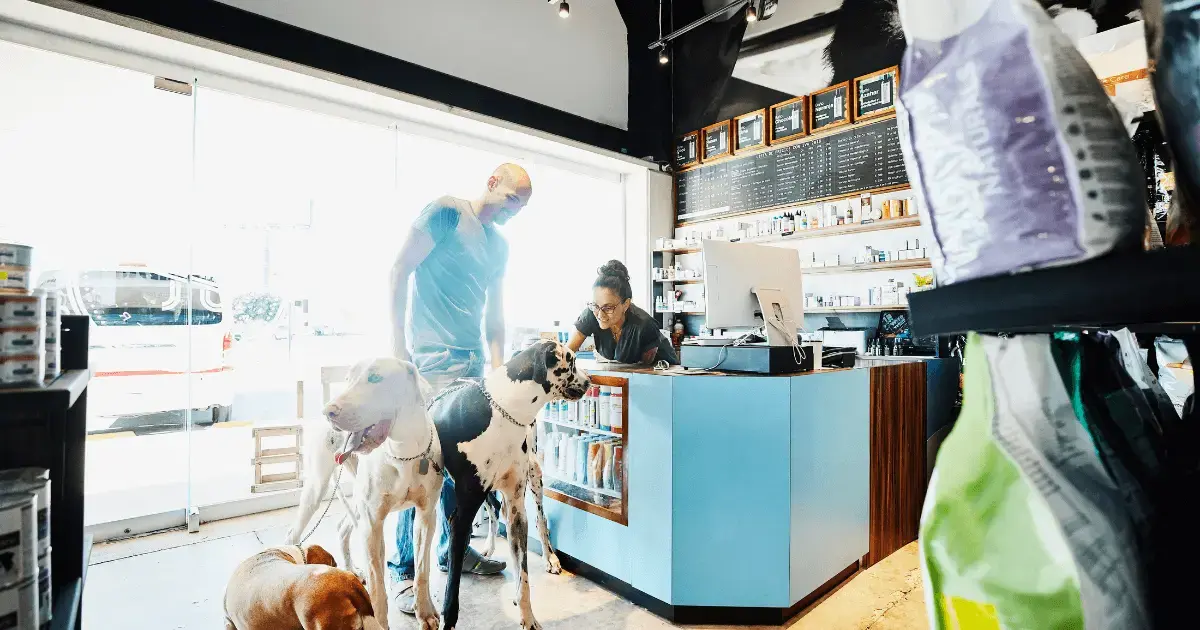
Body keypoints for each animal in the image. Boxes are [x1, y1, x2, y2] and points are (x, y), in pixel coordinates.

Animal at [436, 338, 590, 628]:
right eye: (572, 361)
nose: (589, 380)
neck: (504, 409)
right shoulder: (460, 516)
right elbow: (450, 589)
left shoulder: (518, 509)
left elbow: (525, 578)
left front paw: (528, 618)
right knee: (495, 511)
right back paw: (488, 548)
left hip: (534, 476)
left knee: (539, 520)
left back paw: (550, 557)